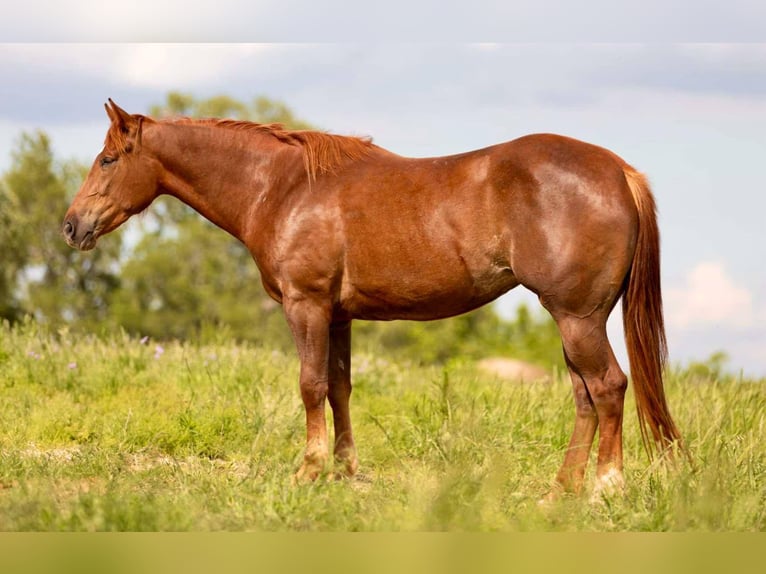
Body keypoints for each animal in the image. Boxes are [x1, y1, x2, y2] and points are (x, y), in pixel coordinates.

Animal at [63, 100, 683, 498]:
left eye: (108, 159)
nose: (72, 226)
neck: (284, 188)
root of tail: (619, 171)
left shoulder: (306, 306)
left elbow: (310, 385)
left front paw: (308, 472)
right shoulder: (338, 316)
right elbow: (339, 388)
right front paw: (343, 471)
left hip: (577, 317)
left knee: (608, 387)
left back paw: (606, 488)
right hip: (575, 320)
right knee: (585, 396)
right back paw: (560, 491)